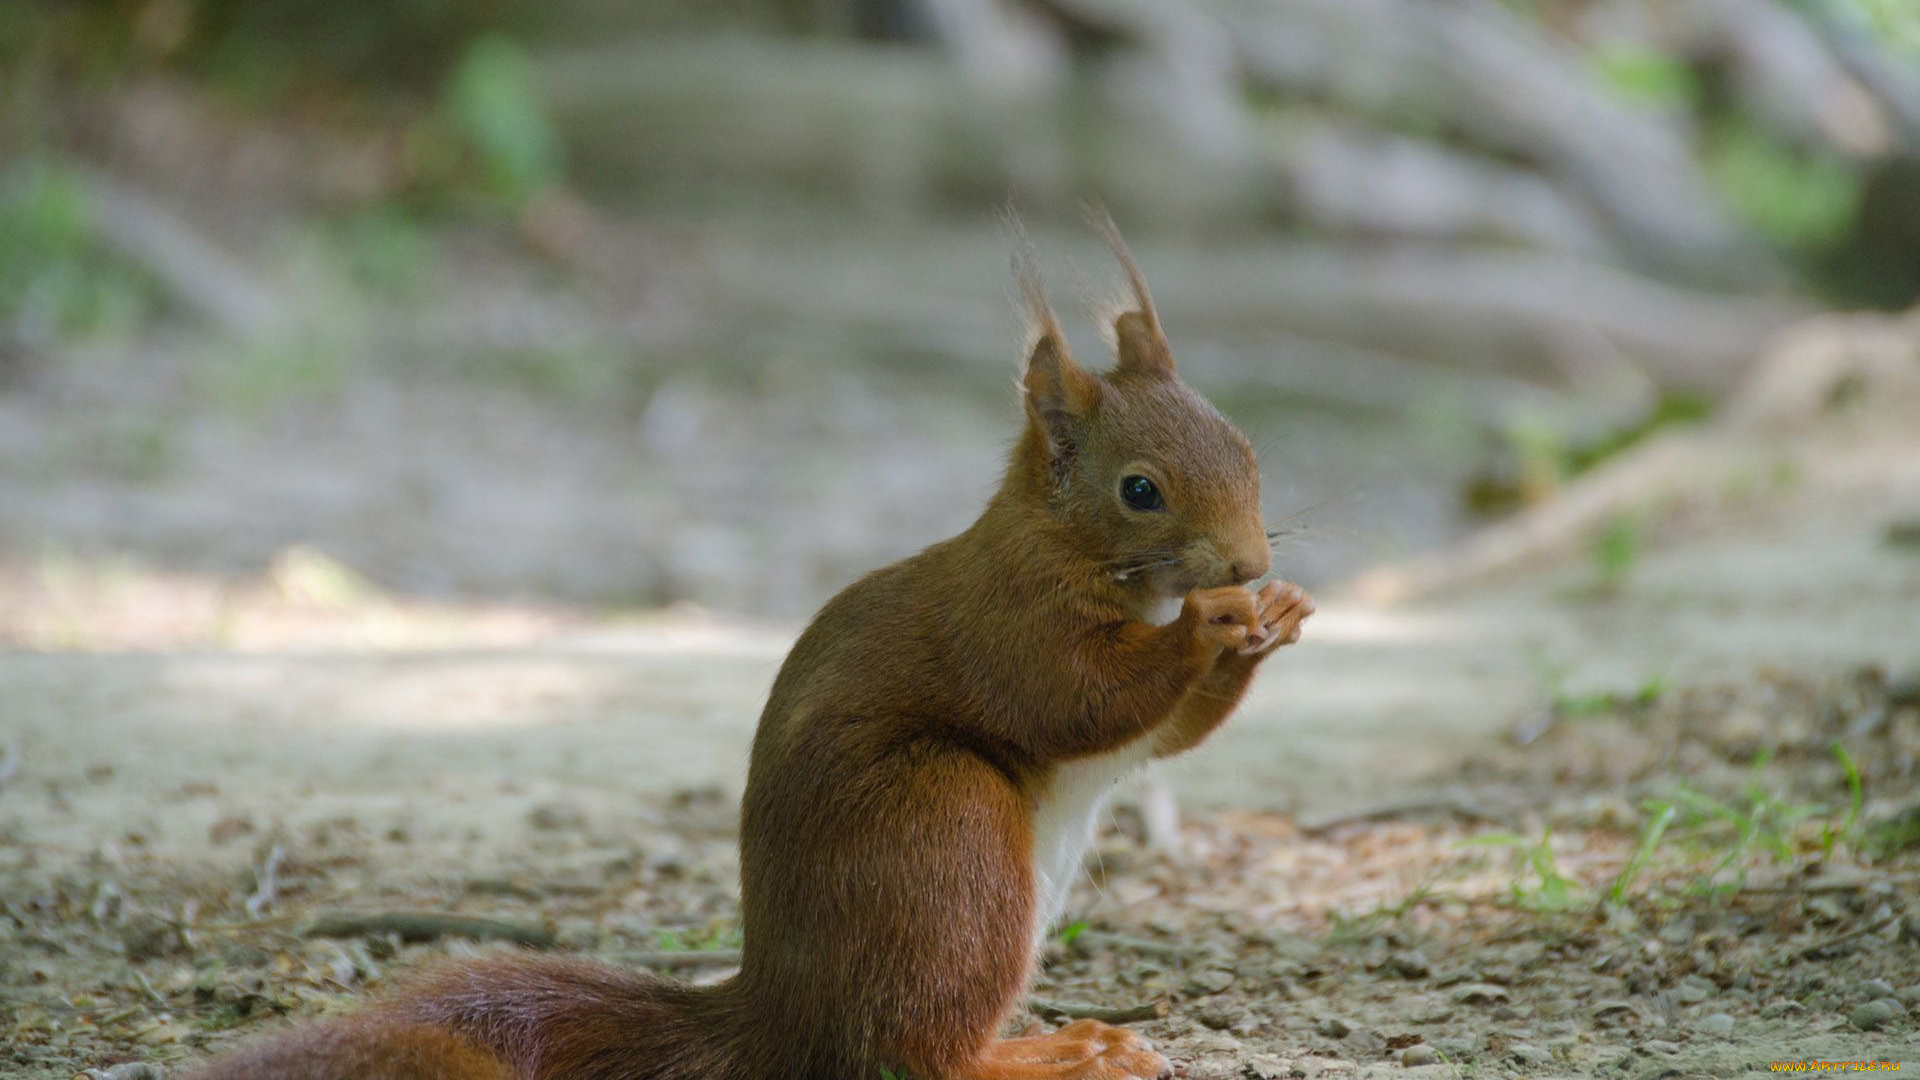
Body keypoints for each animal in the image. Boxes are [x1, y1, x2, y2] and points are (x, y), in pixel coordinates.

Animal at [187, 212, 1313, 1076]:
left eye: (1248, 446)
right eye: (1140, 489)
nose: (1251, 561)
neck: (1086, 559)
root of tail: (779, 1018)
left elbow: (1165, 738)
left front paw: (1279, 617)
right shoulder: (1006, 619)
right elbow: (1073, 698)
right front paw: (1216, 623)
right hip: (942, 836)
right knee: (917, 1055)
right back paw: (1059, 1053)